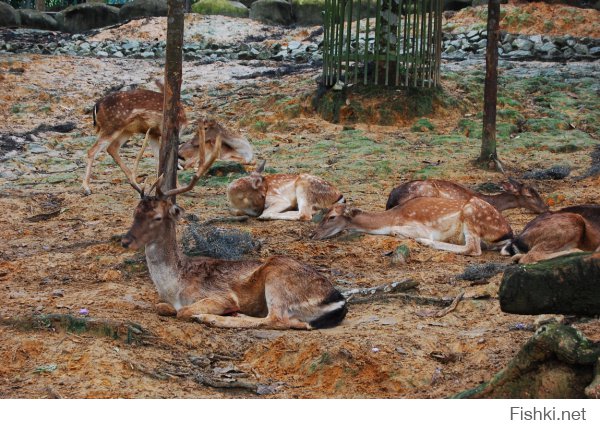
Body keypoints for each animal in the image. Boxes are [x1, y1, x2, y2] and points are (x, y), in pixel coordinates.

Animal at [119, 132, 346, 330]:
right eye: (135, 211)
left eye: (157, 217)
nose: (126, 241)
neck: (175, 287)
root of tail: (339, 301)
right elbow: (161, 307)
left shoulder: (221, 296)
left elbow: (182, 311)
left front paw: (208, 313)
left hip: (278, 277)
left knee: (277, 320)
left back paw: (214, 318)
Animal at [312, 196, 512, 256]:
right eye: (324, 213)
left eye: (332, 217)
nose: (312, 235)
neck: (391, 218)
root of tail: (507, 233)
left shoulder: (418, 226)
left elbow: (395, 232)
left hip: (472, 215)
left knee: (473, 248)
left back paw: (426, 242)